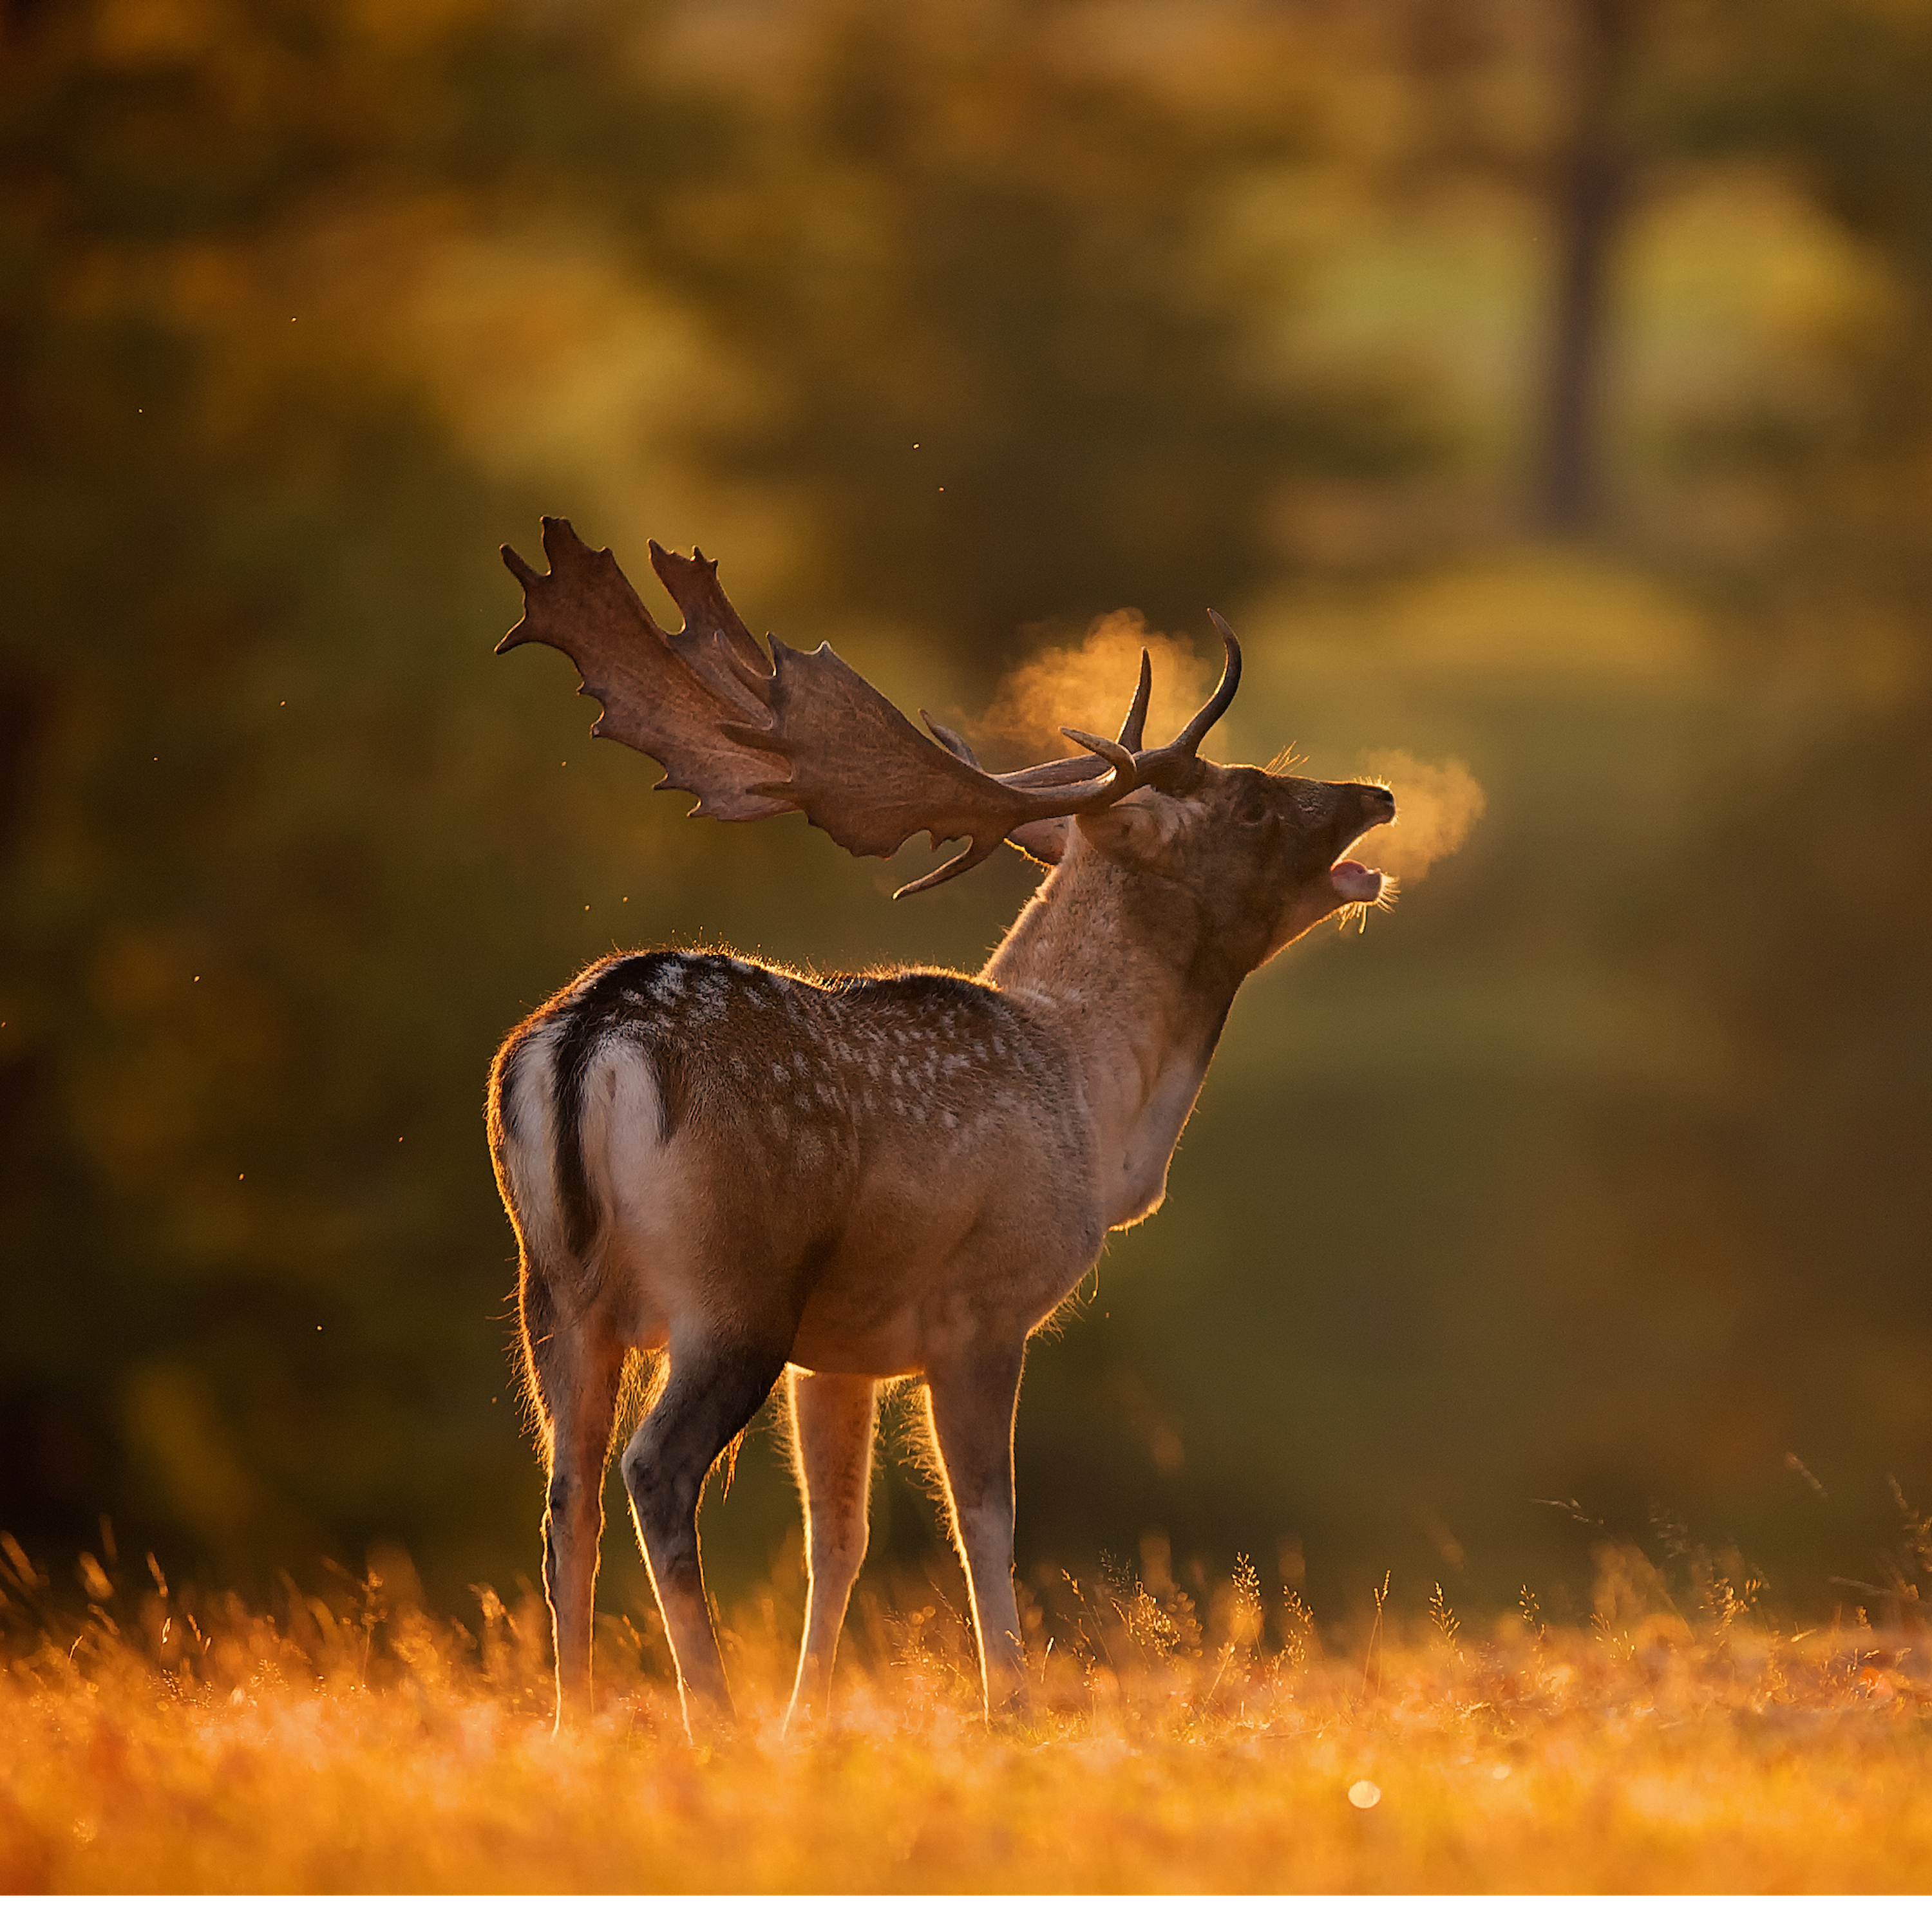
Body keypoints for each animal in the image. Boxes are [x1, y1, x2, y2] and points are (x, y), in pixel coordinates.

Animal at [486, 517, 1396, 1740]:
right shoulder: (982, 1309)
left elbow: (839, 1537)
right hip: (732, 1289)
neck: (1093, 1102)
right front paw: (1010, 1709)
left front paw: (810, 1717)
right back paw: (708, 1717)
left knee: (565, 1493)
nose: (1376, 795)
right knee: (653, 1470)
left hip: (556, 1293)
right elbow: (987, 1522)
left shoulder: (841, 1352)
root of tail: (586, 1039)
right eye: (1251, 801)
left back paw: (575, 1721)